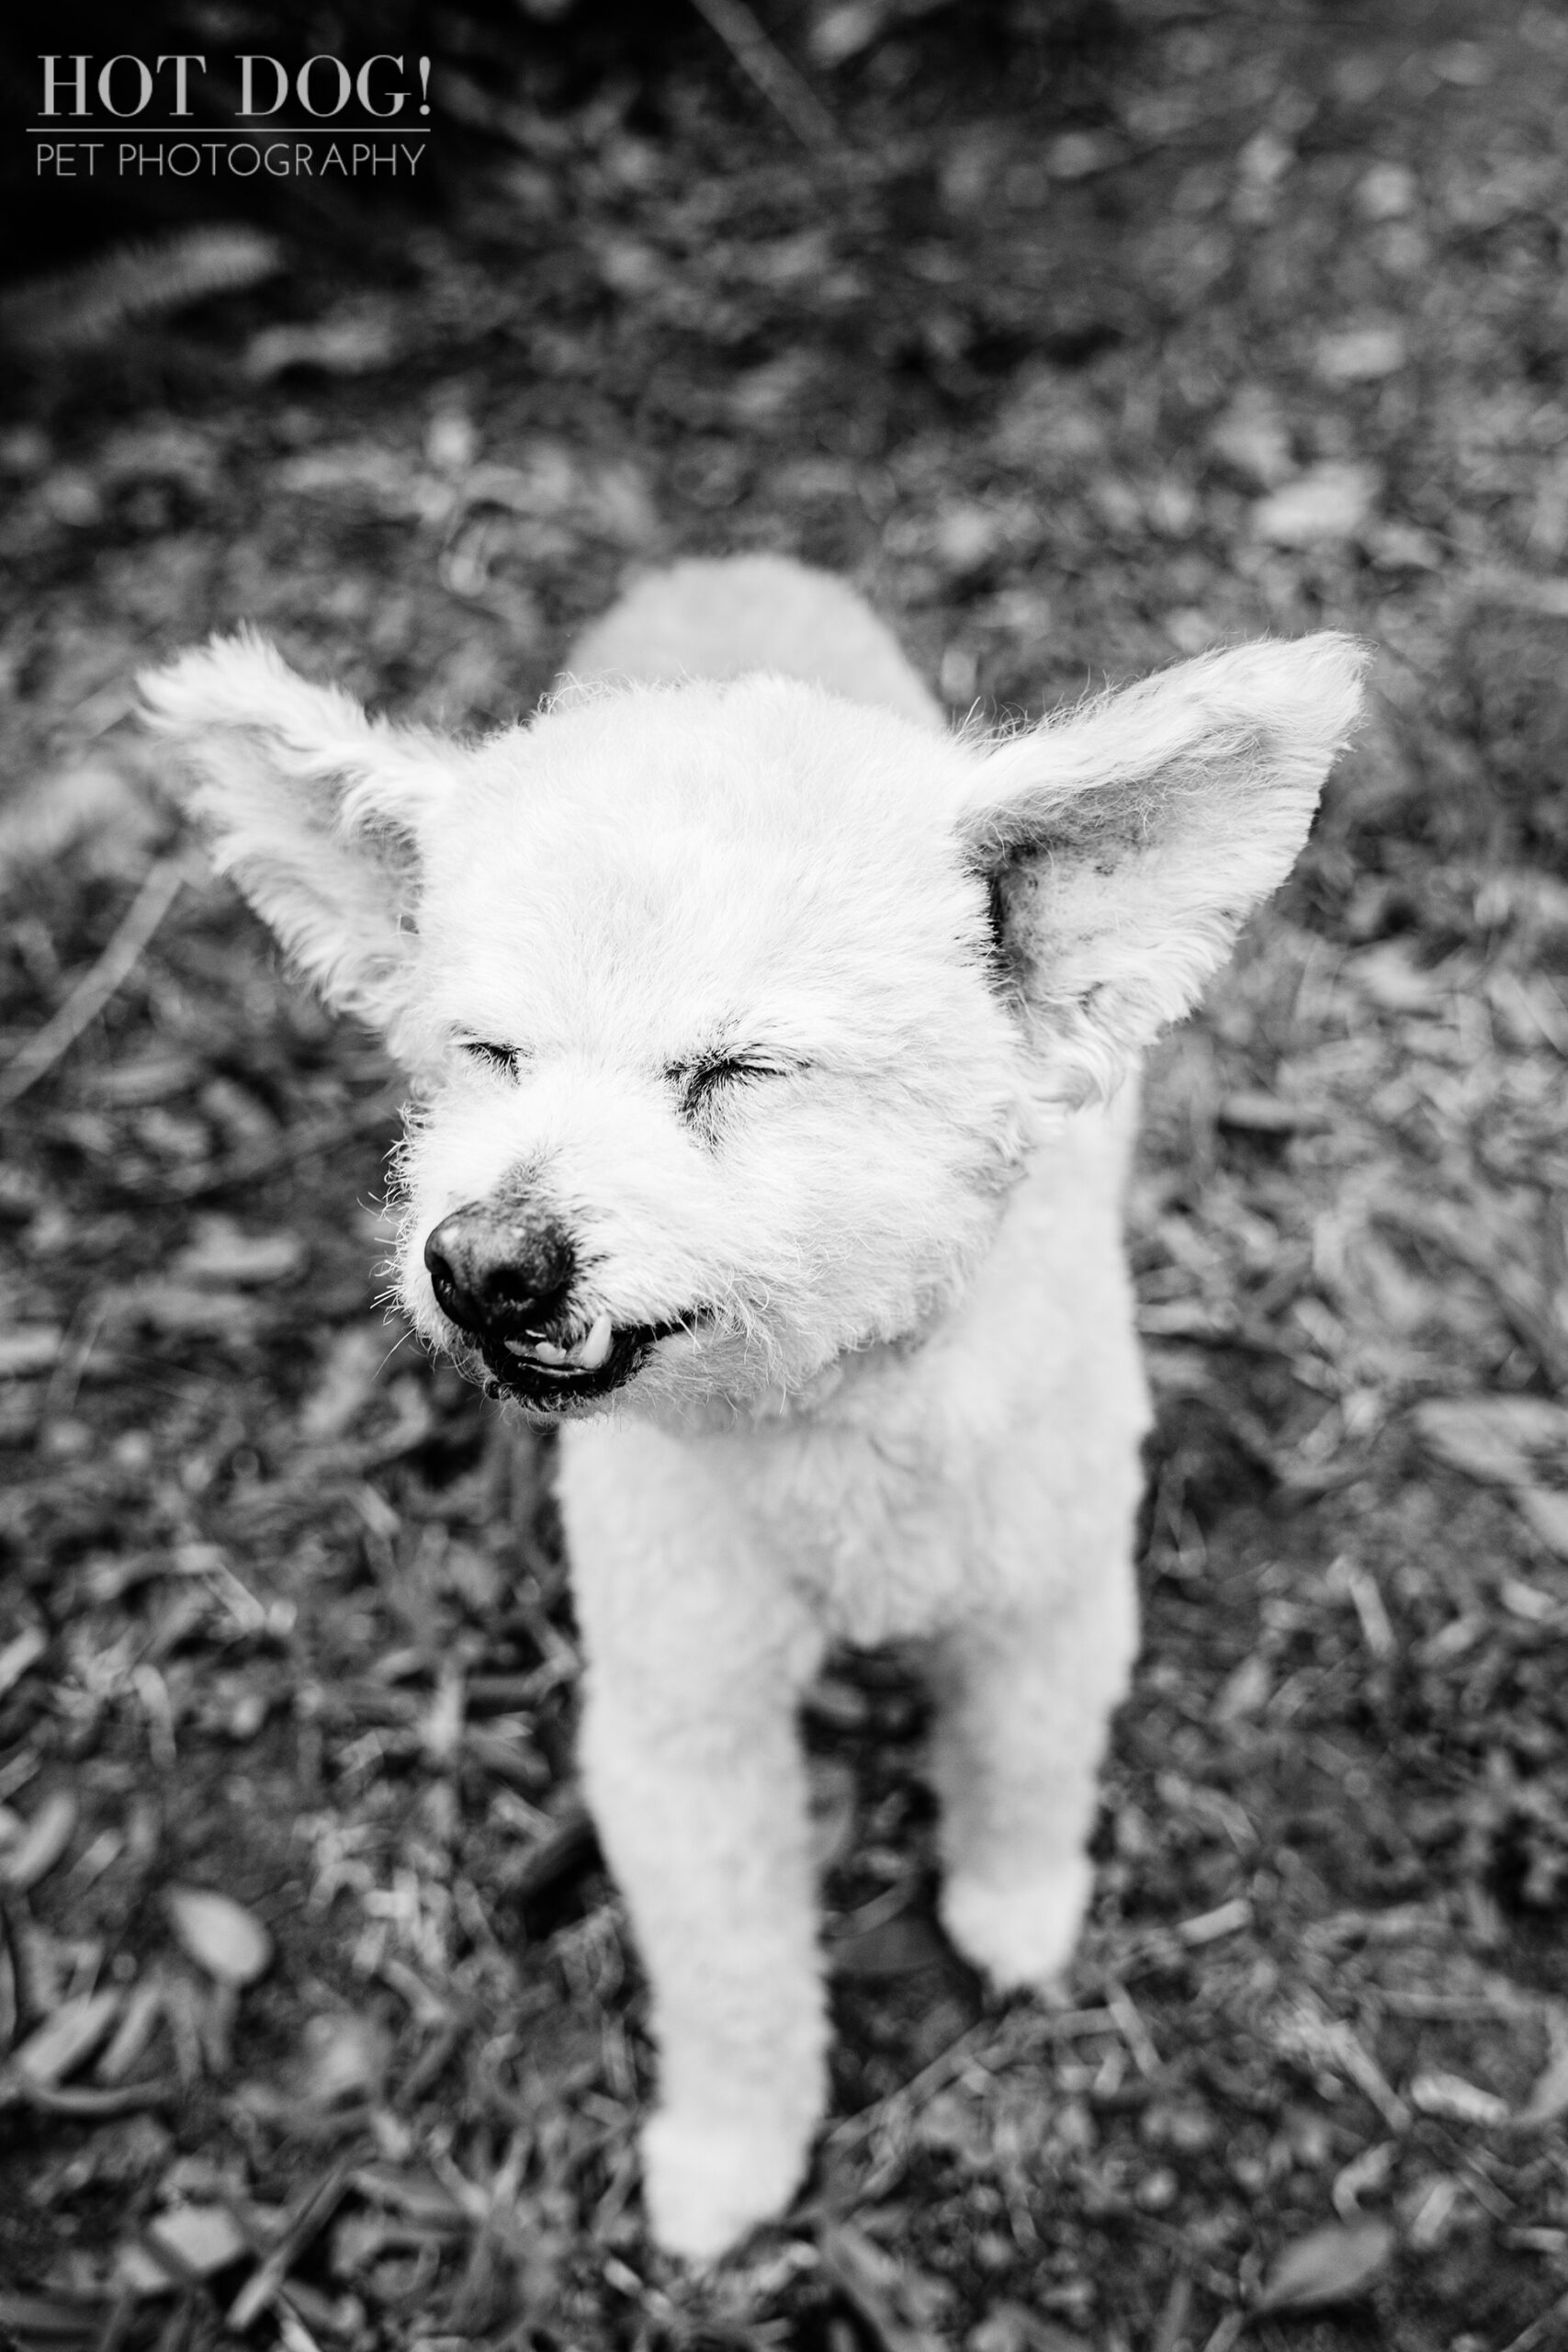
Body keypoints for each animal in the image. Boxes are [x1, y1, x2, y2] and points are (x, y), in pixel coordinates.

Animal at [150, 555, 1372, 2257]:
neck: (832, 1403)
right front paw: (732, 2153)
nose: (482, 1264)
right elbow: (728, 1965)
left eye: (734, 1071)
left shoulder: (1048, 1595)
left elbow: (1022, 1763)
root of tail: (723, 573)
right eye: (488, 1054)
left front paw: (1012, 1909)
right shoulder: (683, 1714)